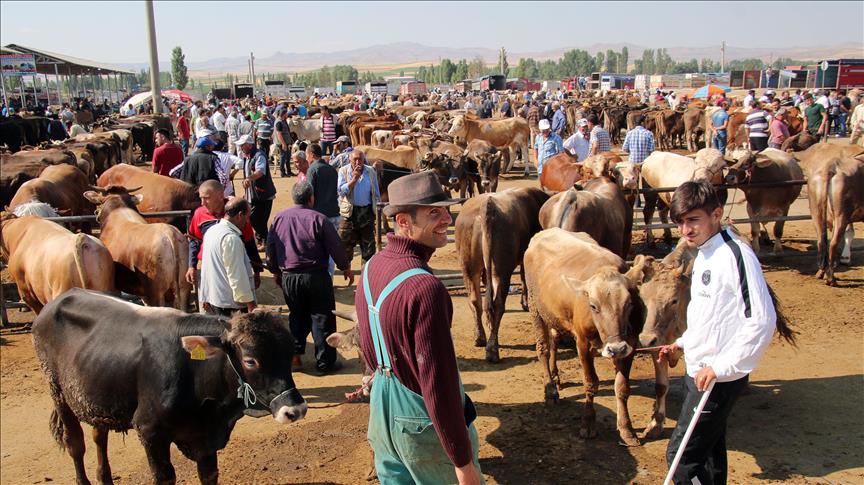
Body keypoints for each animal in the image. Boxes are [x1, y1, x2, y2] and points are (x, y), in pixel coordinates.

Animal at [33, 290, 308, 482]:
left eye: (289, 352)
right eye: (251, 360)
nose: (295, 410)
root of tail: (57, 301)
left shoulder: (205, 441)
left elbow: (208, 474)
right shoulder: (149, 432)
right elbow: (165, 477)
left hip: (95, 398)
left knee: (99, 437)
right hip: (58, 392)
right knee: (75, 445)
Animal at [456, 187, 552, 362]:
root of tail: (487, 207)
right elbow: (523, 277)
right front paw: (525, 303)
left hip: (469, 266)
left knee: (476, 300)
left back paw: (480, 338)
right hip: (501, 270)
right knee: (497, 303)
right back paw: (492, 349)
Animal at [524, 229, 652, 444]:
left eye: (629, 303)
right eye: (593, 305)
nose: (615, 348)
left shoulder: (630, 345)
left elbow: (622, 387)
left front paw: (626, 429)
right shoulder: (582, 344)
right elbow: (591, 383)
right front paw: (588, 423)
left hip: (554, 315)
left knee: (554, 340)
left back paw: (556, 375)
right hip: (535, 308)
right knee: (543, 348)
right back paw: (550, 390)